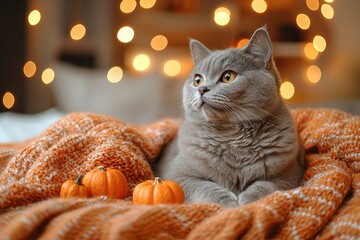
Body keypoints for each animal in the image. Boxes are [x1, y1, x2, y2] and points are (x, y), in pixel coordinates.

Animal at [156, 25, 306, 206]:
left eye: (228, 77)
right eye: (198, 79)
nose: (201, 89)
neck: (232, 135)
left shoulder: (290, 175)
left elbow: (265, 185)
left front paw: (247, 201)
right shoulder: (176, 176)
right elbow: (206, 187)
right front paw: (230, 203)